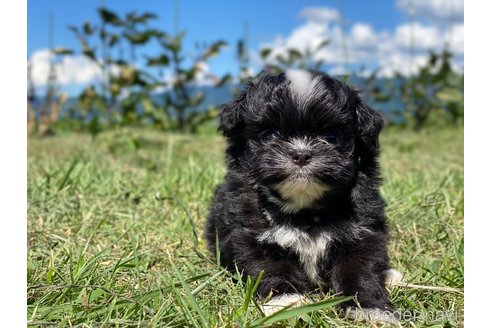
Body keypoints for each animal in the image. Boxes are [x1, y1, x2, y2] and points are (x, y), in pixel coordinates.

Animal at [204, 70, 400, 320]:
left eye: (332, 136)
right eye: (270, 135)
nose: (301, 154)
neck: (305, 208)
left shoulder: (362, 233)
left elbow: (360, 269)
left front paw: (368, 307)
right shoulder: (250, 235)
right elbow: (271, 267)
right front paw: (285, 301)